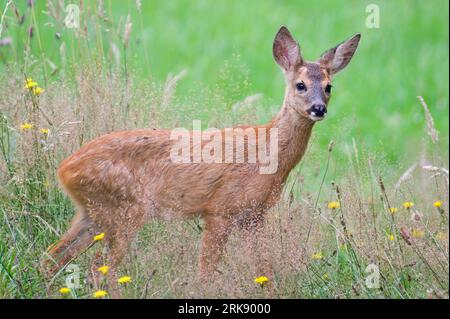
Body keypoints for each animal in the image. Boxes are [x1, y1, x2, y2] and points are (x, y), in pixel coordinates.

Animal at [44, 26, 362, 298]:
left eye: (329, 86)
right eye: (300, 85)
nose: (318, 108)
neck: (268, 154)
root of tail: (63, 169)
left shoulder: (254, 215)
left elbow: (264, 271)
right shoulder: (220, 208)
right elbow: (207, 273)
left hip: (94, 213)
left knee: (53, 257)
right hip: (126, 209)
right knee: (99, 269)